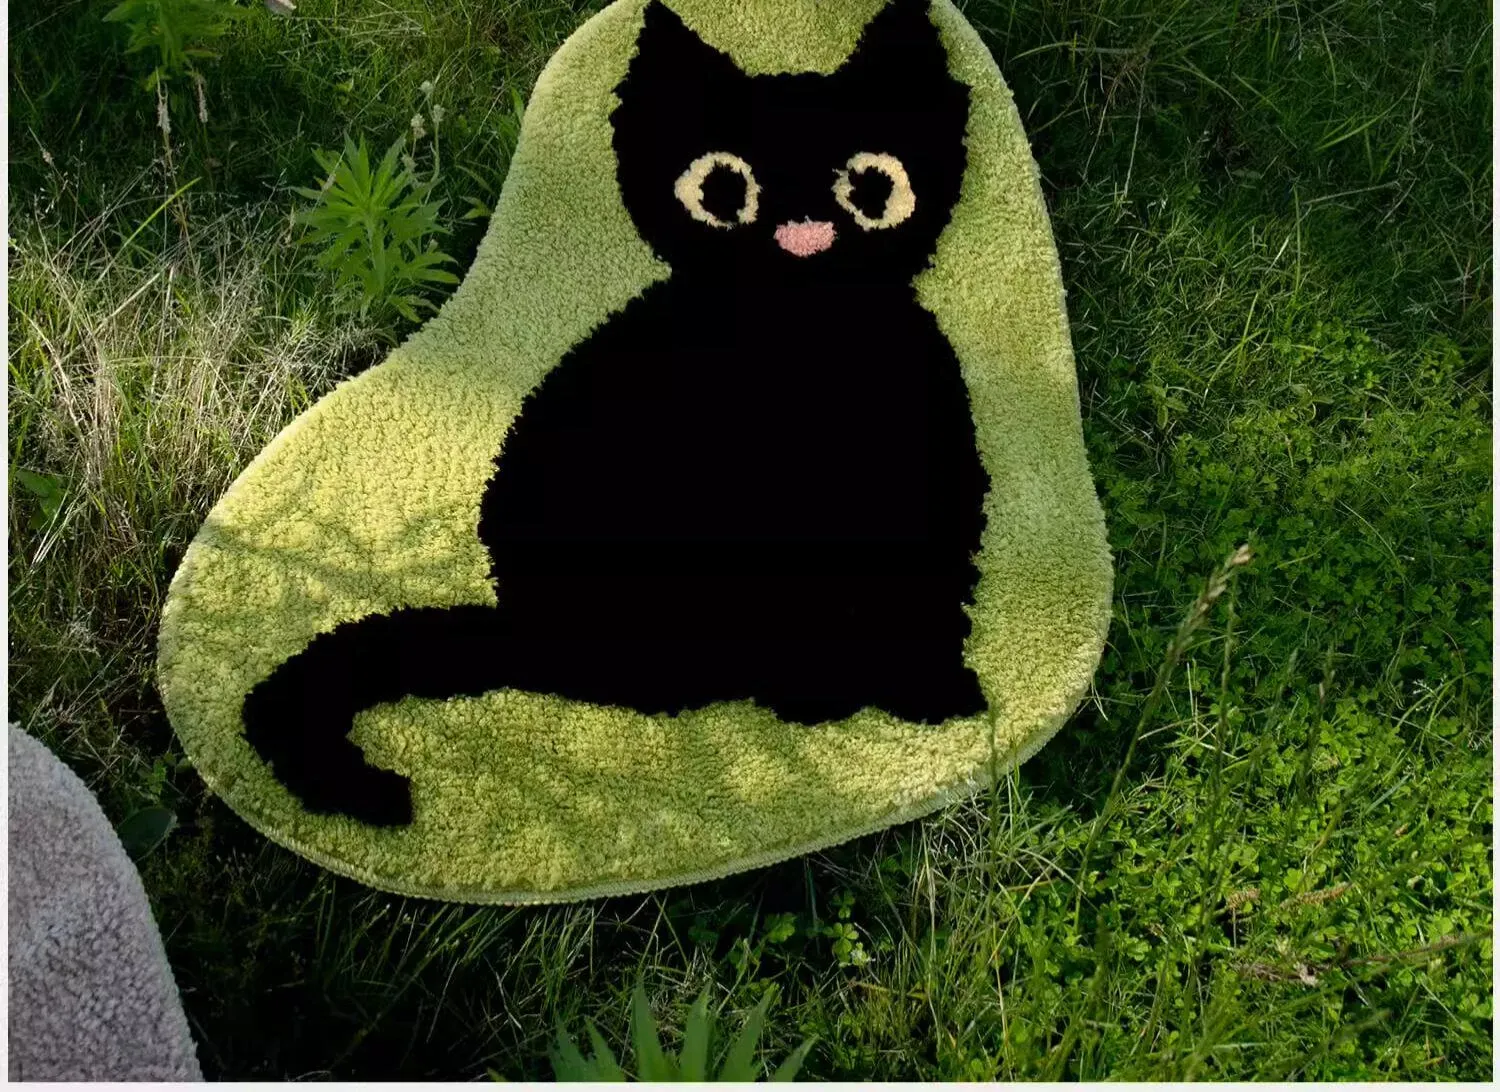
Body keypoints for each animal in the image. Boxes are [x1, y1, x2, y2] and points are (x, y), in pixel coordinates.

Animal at [243, 0, 991, 827]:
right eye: (723, 189)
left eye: (871, 185)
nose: (804, 237)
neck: (794, 345)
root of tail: (527, 629)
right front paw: (834, 691)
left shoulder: (932, 457)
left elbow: (929, 583)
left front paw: (934, 690)